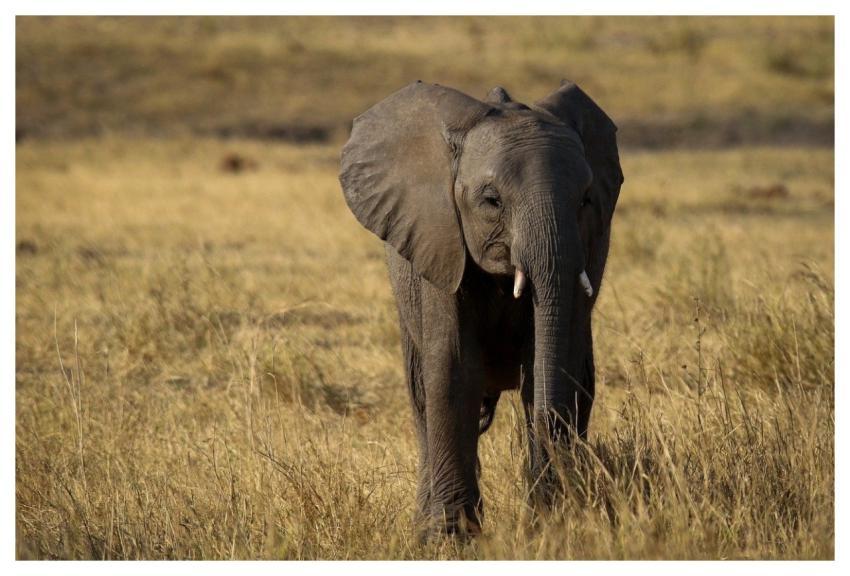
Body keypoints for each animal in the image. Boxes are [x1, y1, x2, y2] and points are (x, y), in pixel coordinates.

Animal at [339, 80, 623, 537]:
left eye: (585, 200)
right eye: (491, 200)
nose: (553, 503)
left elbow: (553, 368)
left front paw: (553, 521)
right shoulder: (439, 239)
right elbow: (454, 368)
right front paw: (448, 539)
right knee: (422, 395)